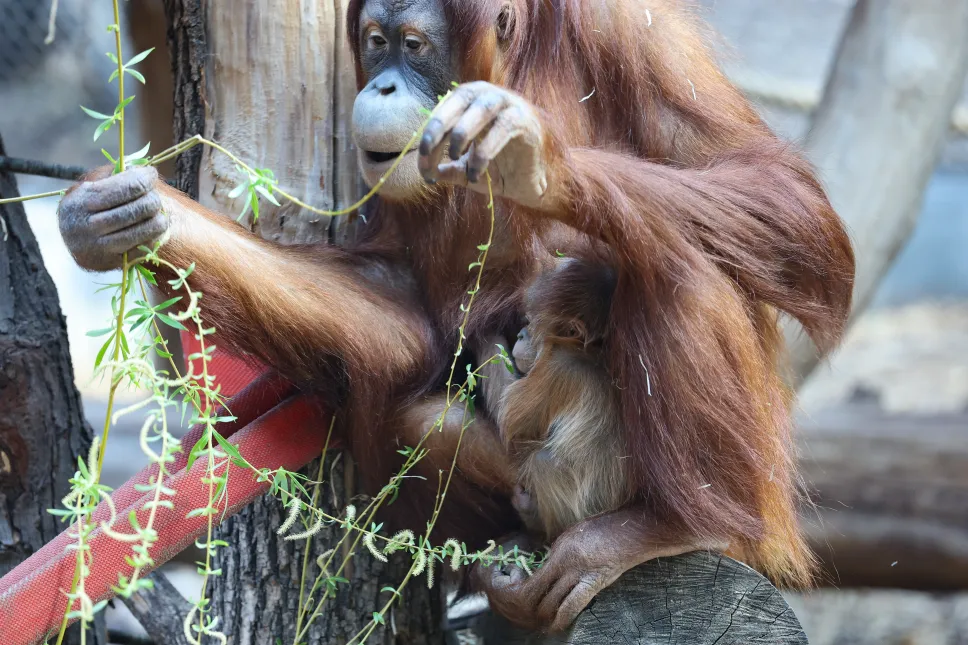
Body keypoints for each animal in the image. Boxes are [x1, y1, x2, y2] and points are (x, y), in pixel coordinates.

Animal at [56, 0, 855, 632]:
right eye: (375, 41)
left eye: (413, 45)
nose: (379, 82)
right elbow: (405, 304)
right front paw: (131, 217)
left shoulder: (634, 27)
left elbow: (784, 198)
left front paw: (532, 155)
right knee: (426, 421)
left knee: (677, 260)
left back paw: (678, 525)